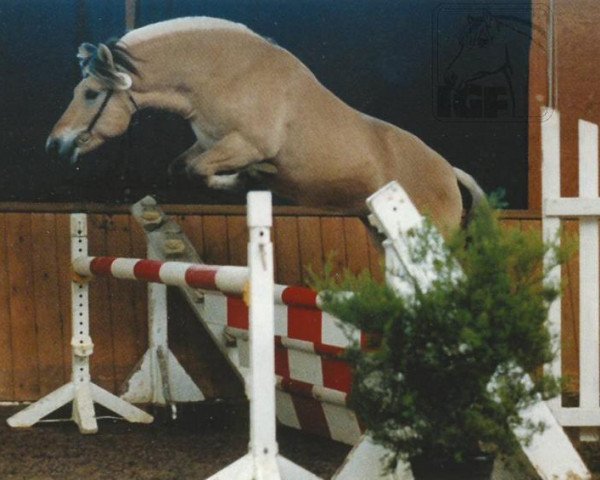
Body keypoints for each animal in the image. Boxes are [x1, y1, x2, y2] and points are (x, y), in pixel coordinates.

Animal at [47, 17, 488, 236]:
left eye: (90, 94)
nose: (55, 144)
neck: (226, 75)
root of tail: (449, 171)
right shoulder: (208, 143)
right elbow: (183, 168)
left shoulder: (246, 145)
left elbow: (204, 170)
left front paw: (250, 178)